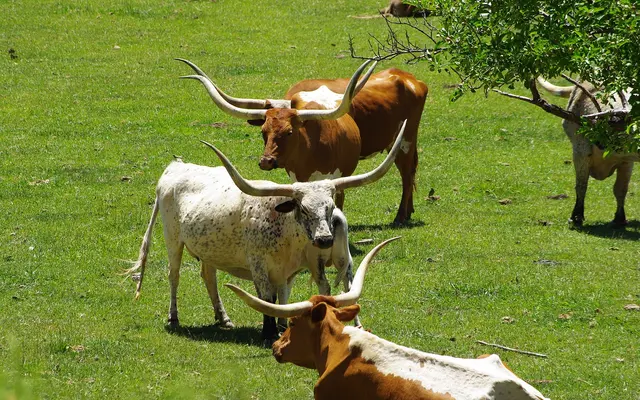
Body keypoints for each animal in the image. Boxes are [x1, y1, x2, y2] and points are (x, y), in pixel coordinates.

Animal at [126, 121, 407, 341]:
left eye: (330, 207)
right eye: (303, 208)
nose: (325, 239)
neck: (287, 232)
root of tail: (175, 168)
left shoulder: (291, 271)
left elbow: (285, 296)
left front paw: (284, 327)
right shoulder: (258, 265)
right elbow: (267, 297)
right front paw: (269, 331)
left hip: (209, 249)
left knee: (209, 276)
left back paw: (223, 318)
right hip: (173, 239)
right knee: (174, 276)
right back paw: (173, 317)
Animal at [178, 58, 428, 225]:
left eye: (290, 132)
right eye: (263, 131)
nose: (266, 161)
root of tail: (409, 78)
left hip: (405, 138)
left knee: (407, 173)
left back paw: (400, 217)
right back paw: (409, 212)